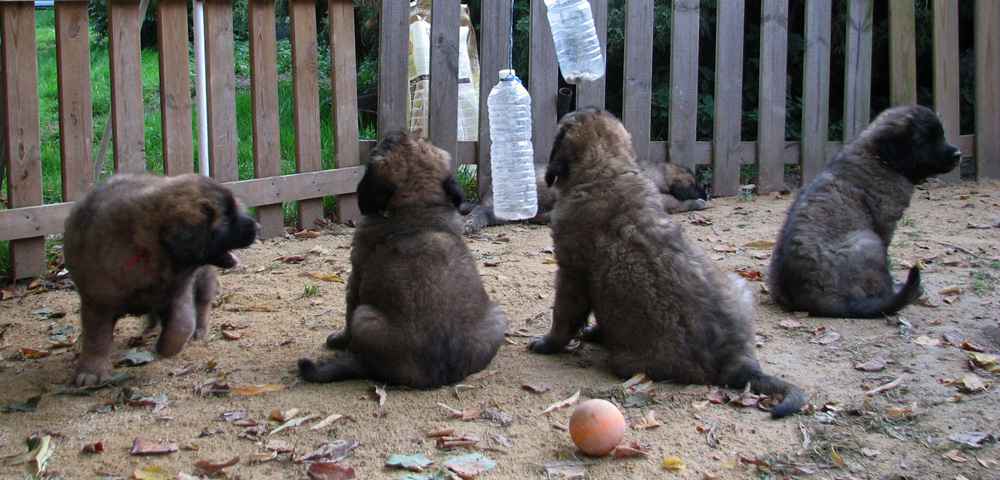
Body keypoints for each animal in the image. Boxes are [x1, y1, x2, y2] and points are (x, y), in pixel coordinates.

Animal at [61, 172, 258, 386]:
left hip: (202, 277)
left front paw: (166, 347)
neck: (147, 251)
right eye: (226, 221)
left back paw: (198, 329)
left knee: (203, 301)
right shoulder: (97, 301)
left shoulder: (178, 291)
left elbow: (182, 324)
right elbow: (97, 339)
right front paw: (90, 372)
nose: (258, 226)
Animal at [292, 131, 504, 390]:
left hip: (365, 316)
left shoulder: (356, 278)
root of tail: (438, 376)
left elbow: (347, 316)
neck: (417, 207)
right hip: (496, 315)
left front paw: (338, 339)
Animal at [532, 107, 804, 418]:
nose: (704, 192)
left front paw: (547, 343)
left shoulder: (572, 274)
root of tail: (737, 362)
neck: (606, 172)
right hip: (739, 286)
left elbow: (562, 318)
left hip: (629, 362)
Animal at [764, 103, 960, 316]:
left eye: (941, 135)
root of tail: (807, 298)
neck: (880, 157)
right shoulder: (885, 225)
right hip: (868, 242)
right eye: (927, 141)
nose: (958, 155)